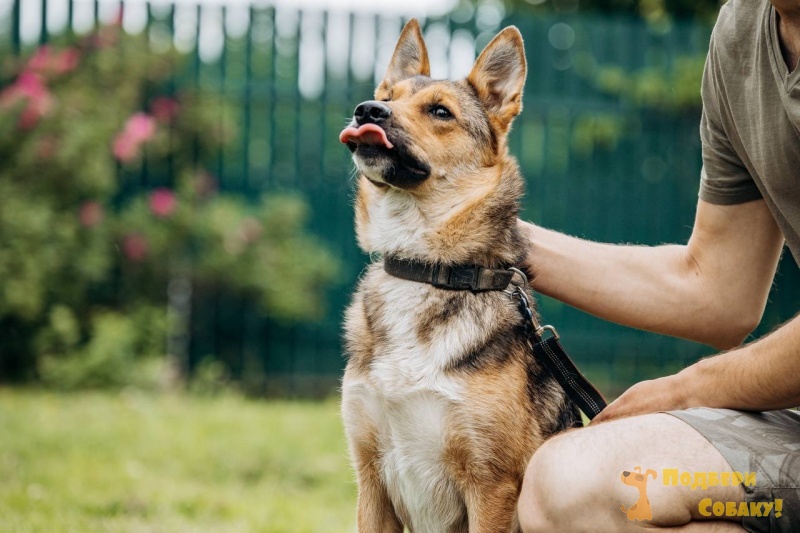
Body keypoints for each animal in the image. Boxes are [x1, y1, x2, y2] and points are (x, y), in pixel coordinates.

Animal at [339, 19, 581, 532]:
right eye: (386, 95)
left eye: (439, 112)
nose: (367, 109)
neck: (424, 269)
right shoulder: (370, 480)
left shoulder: (492, 486)